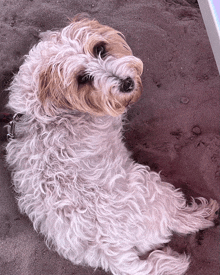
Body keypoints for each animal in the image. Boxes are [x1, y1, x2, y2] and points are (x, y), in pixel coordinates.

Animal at [6, 15, 219, 275]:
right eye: (82, 79)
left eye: (100, 49)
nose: (126, 83)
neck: (46, 110)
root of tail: (112, 251)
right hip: (149, 185)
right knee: (180, 219)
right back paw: (201, 213)